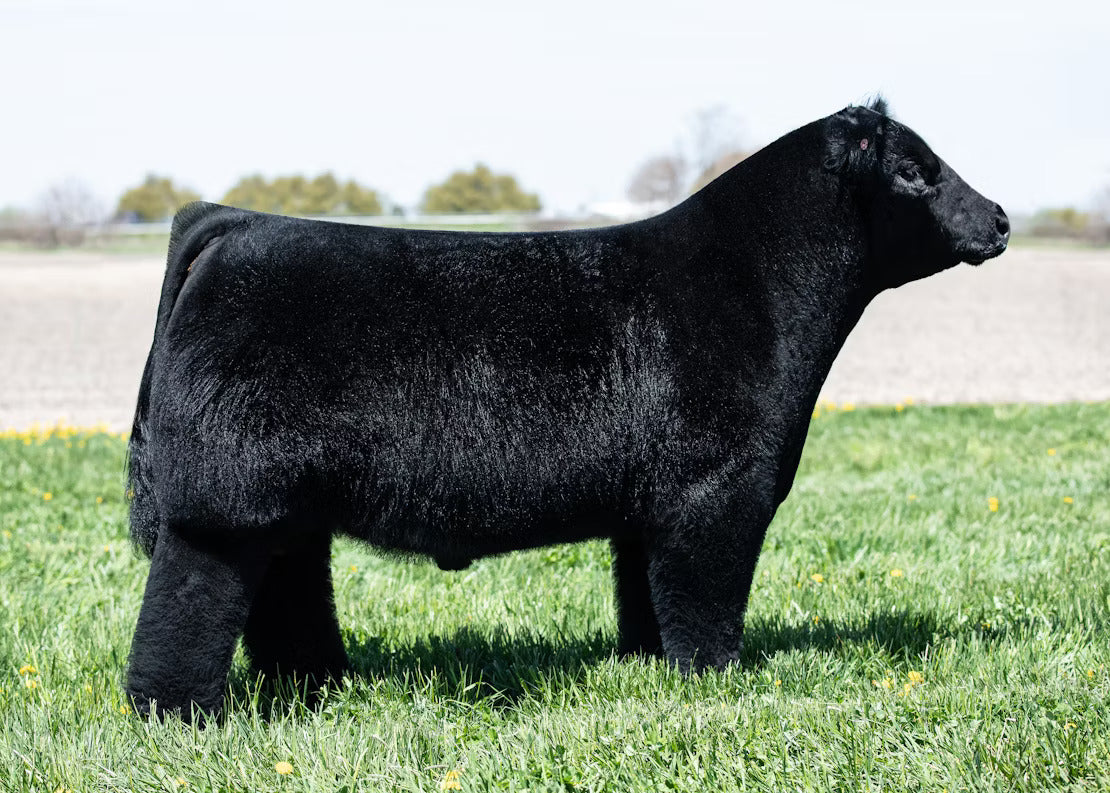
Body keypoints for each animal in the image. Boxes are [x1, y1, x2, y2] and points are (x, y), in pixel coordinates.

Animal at [124, 99, 1009, 720]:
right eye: (916, 171)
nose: (1000, 217)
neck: (749, 285)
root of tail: (233, 222)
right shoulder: (717, 498)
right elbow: (705, 606)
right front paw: (719, 683)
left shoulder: (649, 511)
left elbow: (646, 602)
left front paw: (651, 671)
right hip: (220, 511)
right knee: (184, 613)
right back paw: (182, 718)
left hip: (286, 510)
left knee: (288, 593)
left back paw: (321, 688)